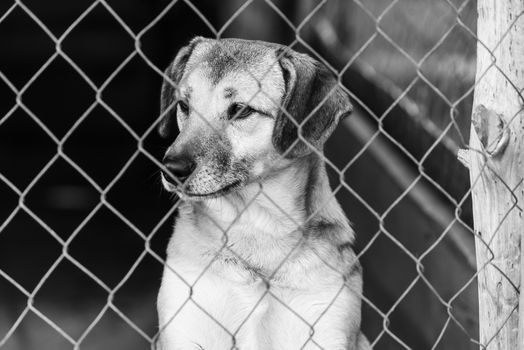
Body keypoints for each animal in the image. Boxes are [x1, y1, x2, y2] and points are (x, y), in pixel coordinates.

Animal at [155, 37, 368, 348]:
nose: (171, 168)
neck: (256, 228)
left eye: (241, 110)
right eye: (184, 105)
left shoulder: (326, 330)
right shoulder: (184, 328)